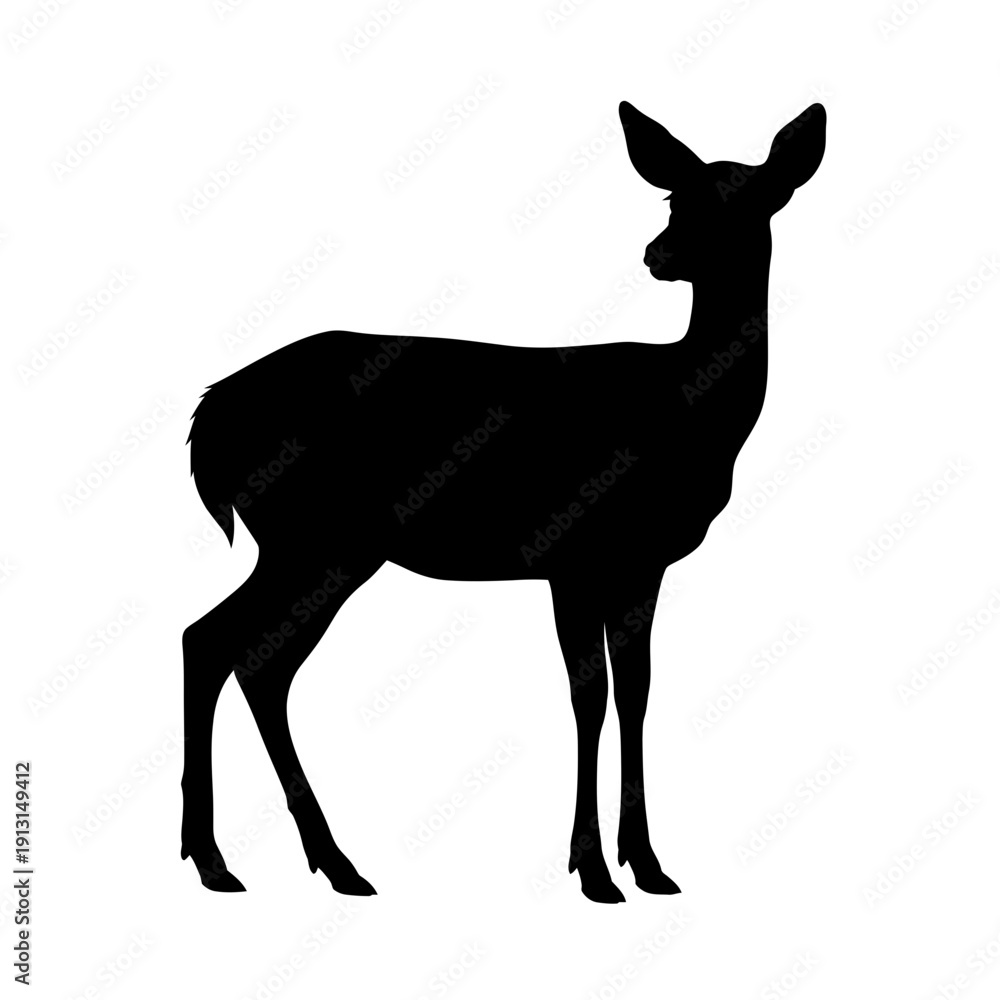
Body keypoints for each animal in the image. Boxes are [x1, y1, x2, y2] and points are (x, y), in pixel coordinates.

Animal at [181, 99, 826, 903]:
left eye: (753, 201)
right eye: (678, 199)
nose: (659, 254)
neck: (690, 411)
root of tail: (211, 415)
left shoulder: (640, 562)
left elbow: (637, 690)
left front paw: (647, 864)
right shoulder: (574, 552)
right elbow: (590, 696)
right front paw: (593, 871)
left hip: (314, 544)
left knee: (234, 650)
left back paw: (278, 861)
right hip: (316, 536)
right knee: (229, 645)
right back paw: (262, 859)